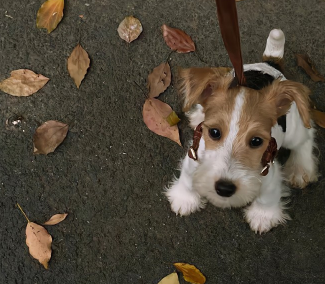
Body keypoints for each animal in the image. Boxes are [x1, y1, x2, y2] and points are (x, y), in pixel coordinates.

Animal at [165, 29, 316, 233]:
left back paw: (301, 168)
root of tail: (270, 63)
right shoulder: (195, 153)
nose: (224, 188)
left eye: (256, 141)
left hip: (294, 131)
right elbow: (188, 176)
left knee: (307, 136)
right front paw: (185, 197)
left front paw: (263, 215)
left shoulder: (269, 172)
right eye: (214, 132)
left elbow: (268, 195)